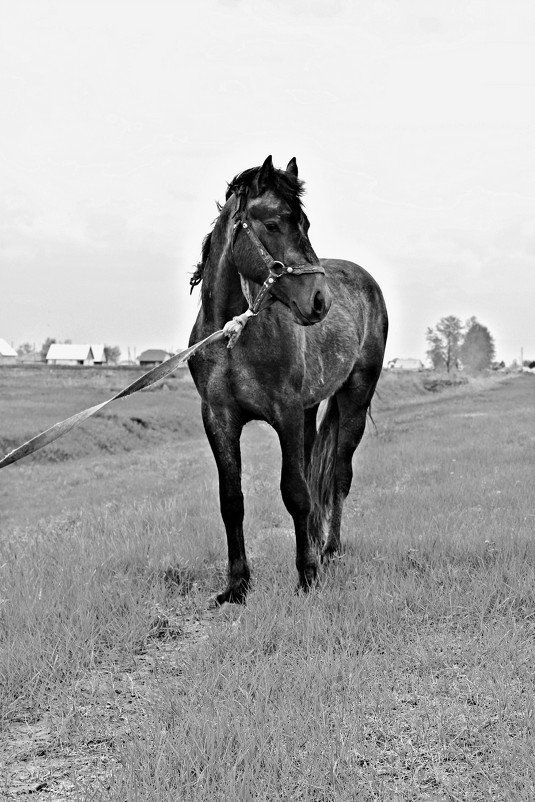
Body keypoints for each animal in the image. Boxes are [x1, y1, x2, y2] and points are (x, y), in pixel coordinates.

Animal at [187, 156, 386, 600]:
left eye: (306, 224)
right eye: (274, 223)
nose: (319, 300)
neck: (234, 334)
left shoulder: (288, 414)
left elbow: (296, 492)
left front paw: (307, 576)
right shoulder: (219, 418)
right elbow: (232, 500)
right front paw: (237, 586)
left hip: (354, 401)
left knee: (338, 477)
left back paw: (328, 551)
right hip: (312, 411)